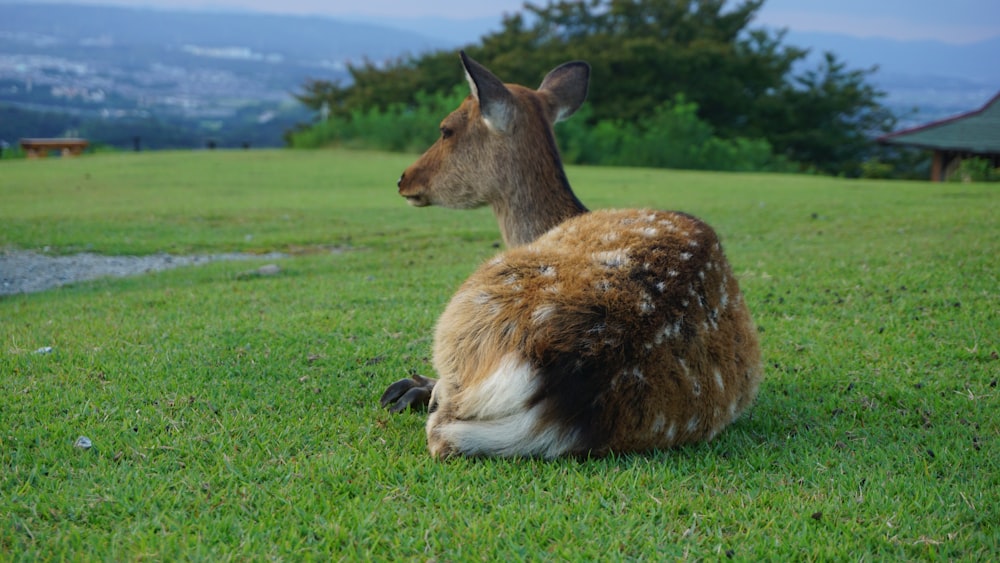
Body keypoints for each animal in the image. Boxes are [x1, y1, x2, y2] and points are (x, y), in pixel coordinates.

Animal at [378, 51, 760, 458]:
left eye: (445, 129)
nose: (404, 179)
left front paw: (413, 386)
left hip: (466, 304)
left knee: (442, 426)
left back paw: (415, 390)